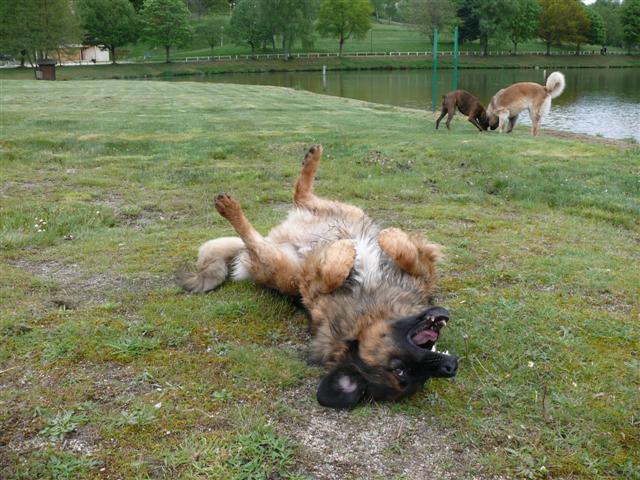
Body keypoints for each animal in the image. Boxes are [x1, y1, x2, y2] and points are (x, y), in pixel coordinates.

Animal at [180, 145, 458, 408]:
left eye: (407, 374)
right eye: (400, 369)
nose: (451, 367)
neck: (370, 311)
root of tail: (278, 238)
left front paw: (356, 248)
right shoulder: (315, 281)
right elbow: (385, 255)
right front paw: (361, 246)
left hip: (285, 265)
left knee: (268, 228)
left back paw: (232, 207)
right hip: (337, 221)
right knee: (298, 198)